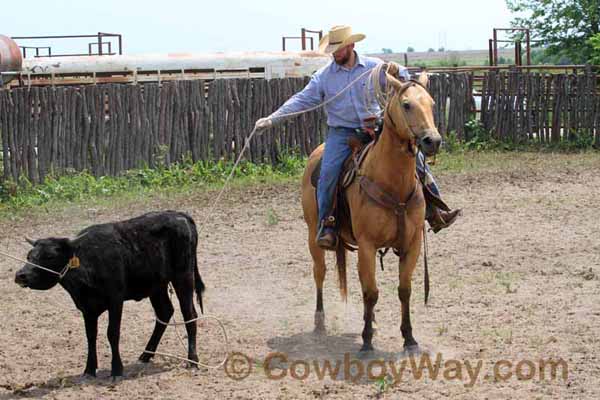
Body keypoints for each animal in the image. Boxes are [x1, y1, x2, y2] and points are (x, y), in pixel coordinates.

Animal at [300, 70, 440, 352]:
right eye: (406, 104)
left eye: (431, 103)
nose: (433, 141)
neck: (393, 183)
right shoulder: (367, 244)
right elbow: (371, 292)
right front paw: (366, 341)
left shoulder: (412, 244)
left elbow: (403, 290)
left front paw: (409, 338)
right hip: (312, 235)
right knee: (320, 272)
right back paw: (320, 321)